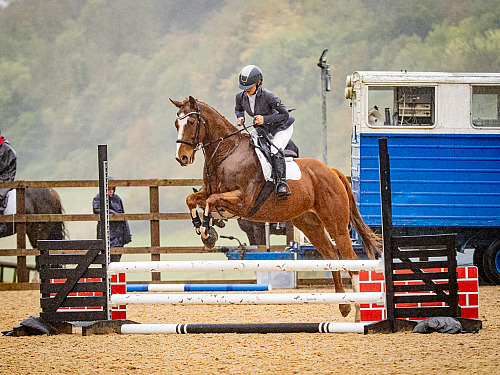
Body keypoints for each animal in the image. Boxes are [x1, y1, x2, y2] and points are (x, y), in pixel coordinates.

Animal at [170, 96, 380, 318]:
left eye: (191, 122)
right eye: (176, 124)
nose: (182, 158)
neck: (227, 153)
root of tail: (332, 171)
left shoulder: (243, 201)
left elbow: (211, 201)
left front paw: (207, 232)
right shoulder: (211, 194)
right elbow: (192, 199)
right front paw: (202, 229)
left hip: (336, 224)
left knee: (350, 259)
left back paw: (357, 309)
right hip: (309, 224)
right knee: (331, 255)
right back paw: (343, 305)